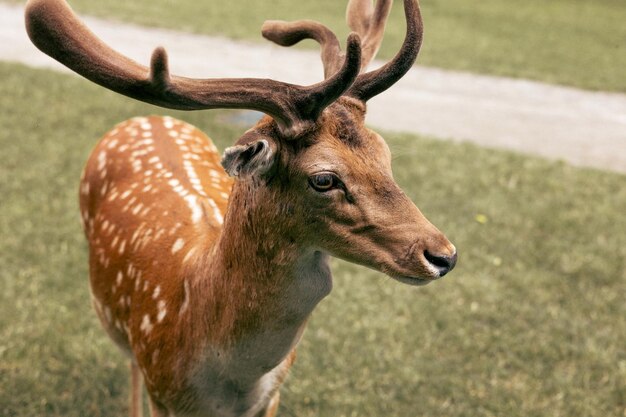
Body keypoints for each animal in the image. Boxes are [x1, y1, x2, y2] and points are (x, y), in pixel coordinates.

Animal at [25, 0, 454, 414]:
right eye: (324, 179)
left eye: (384, 154)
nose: (443, 255)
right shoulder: (161, 388)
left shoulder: (273, 395)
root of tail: (146, 117)